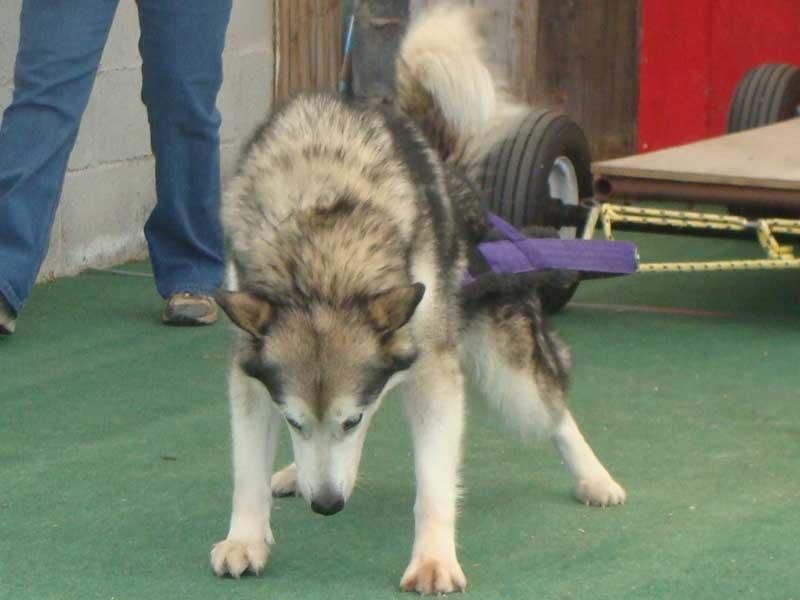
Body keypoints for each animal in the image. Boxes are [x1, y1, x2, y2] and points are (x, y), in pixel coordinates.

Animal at [211, 4, 624, 596]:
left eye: (350, 421)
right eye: (292, 422)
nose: (326, 506)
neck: (321, 238)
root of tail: (448, 169)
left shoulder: (433, 372)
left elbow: (433, 482)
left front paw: (432, 558)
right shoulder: (249, 369)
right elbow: (247, 469)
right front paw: (246, 537)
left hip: (509, 376)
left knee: (554, 405)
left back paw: (594, 476)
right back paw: (293, 475)